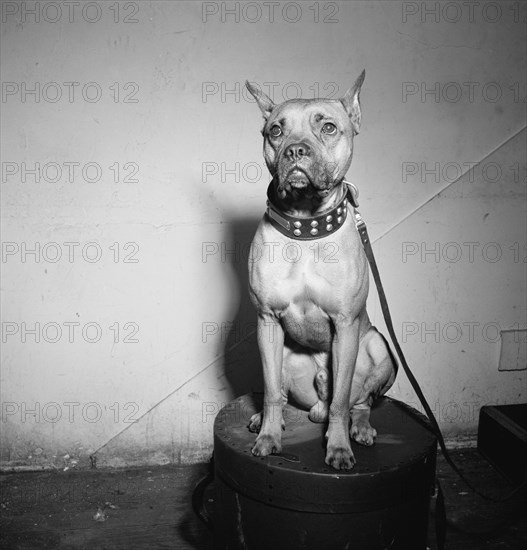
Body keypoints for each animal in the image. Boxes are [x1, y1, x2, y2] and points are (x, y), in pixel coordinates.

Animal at [245, 71, 398, 472]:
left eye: (328, 127)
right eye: (276, 131)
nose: (296, 150)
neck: (305, 228)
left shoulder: (345, 325)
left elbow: (341, 400)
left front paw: (339, 446)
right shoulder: (267, 321)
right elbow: (270, 391)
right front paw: (269, 436)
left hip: (378, 346)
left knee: (359, 402)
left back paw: (359, 428)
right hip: (280, 349)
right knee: (282, 395)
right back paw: (268, 419)